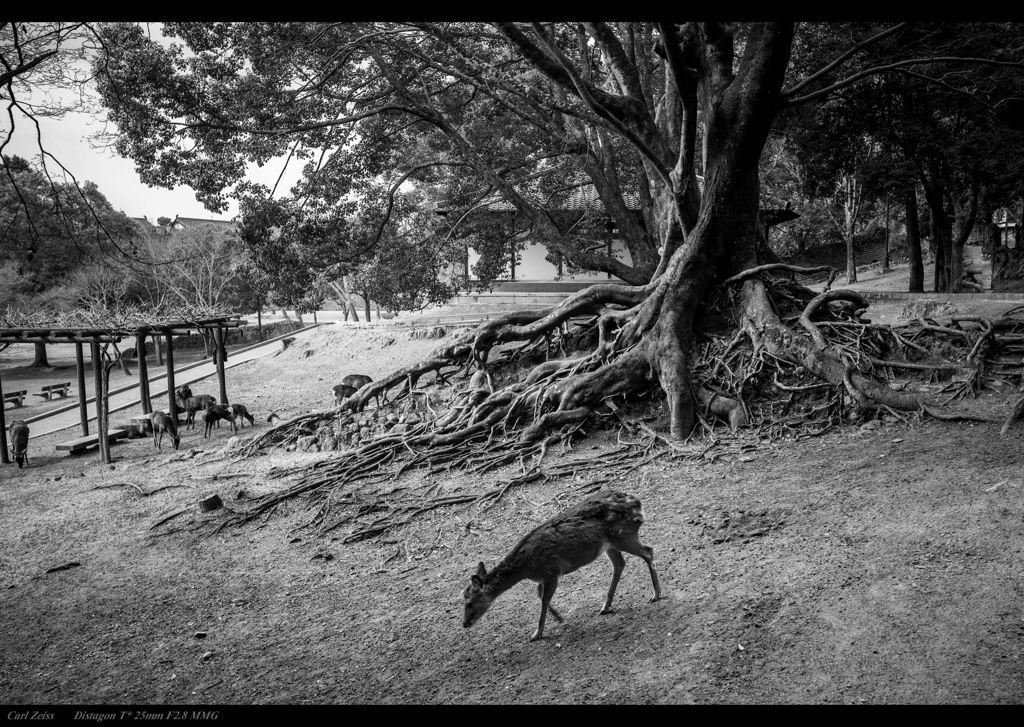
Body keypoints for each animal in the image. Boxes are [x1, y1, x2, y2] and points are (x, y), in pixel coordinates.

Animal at [462, 489, 663, 643]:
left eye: (469, 603)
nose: (464, 623)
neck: (527, 567)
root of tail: (637, 503)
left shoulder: (551, 571)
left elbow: (544, 599)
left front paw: (537, 633)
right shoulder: (543, 577)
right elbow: (539, 595)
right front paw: (559, 618)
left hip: (623, 535)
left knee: (648, 551)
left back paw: (655, 594)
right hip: (610, 544)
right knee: (620, 564)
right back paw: (606, 607)